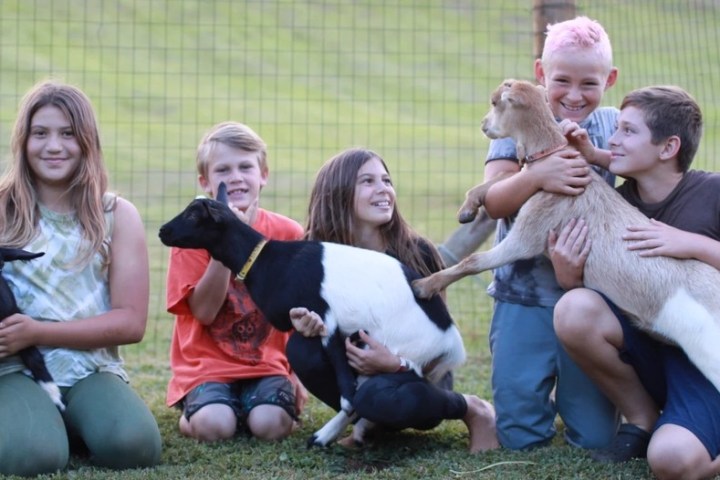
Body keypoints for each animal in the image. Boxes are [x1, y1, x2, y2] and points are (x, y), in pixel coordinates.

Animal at [159, 184, 466, 446]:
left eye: (193, 214)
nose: (162, 231)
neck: (267, 261)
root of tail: (450, 339)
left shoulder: (324, 314)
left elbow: (345, 385)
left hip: (398, 351)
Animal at [414, 78, 720, 394]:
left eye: (495, 102)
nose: (484, 125)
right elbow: (499, 181)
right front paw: (467, 210)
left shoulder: (528, 234)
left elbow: (473, 261)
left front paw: (424, 286)